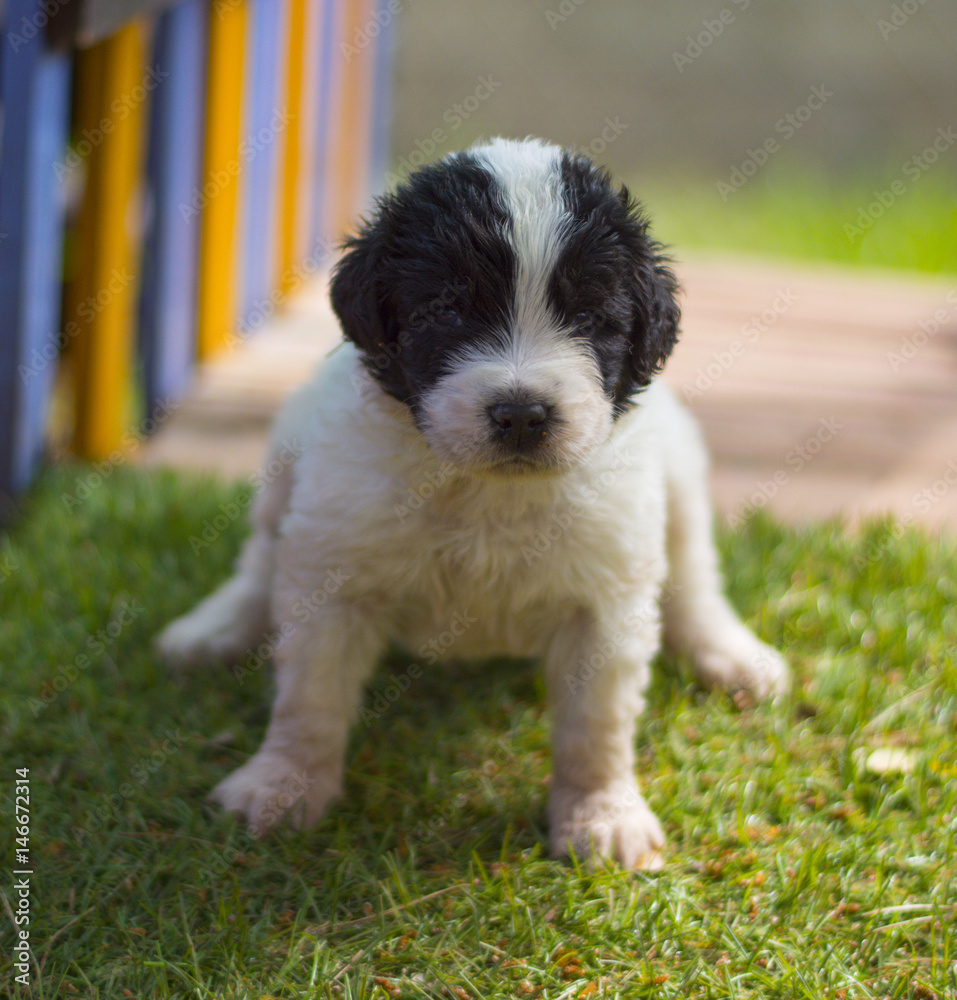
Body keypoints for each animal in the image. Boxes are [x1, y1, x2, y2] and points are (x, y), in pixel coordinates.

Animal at [161, 135, 788, 868]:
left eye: (589, 319)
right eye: (446, 311)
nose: (521, 414)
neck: (488, 493)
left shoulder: (605, 599)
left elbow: (597, 723)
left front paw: (602, 814)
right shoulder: (334, 571)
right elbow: (308, 698)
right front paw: (282, 784)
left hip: (680, 472)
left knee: (692, 575)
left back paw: (731, 655)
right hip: (288, 456)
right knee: (260, 557)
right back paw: (214, 630)